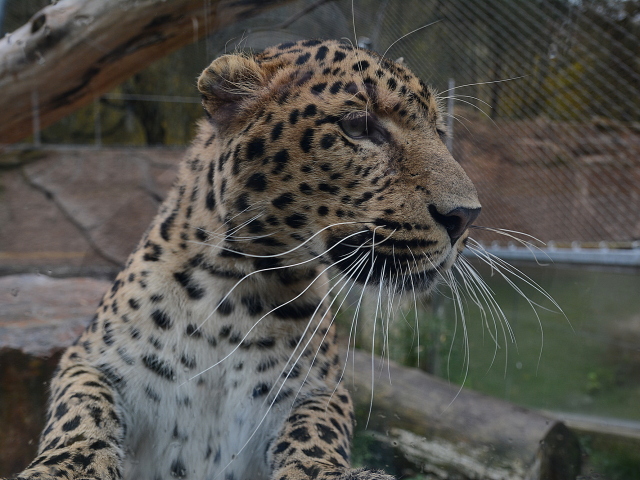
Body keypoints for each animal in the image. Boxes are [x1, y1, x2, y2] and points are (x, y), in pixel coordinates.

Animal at [7, 39, 481, 480]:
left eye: (440, 132)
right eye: (358, 127)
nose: (466, 216)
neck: (229, 288)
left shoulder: (316, 388)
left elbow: (316, 425)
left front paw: (324, 470)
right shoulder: (92, 359)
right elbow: (82, 407)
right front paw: (64, 466)